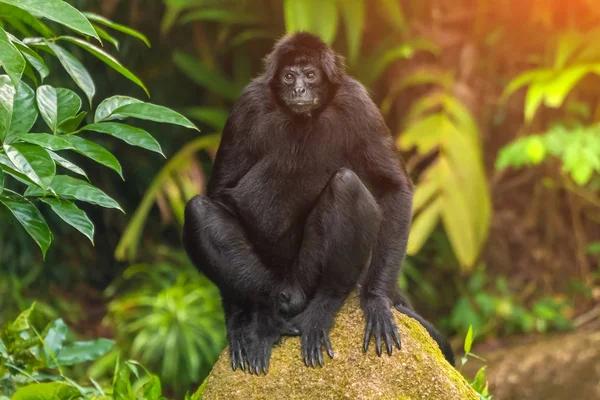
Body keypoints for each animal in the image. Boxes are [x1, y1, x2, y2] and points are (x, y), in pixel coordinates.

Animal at [183, 32, 454, 374]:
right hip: (271, 276)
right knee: (198, 210)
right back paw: (266, 319)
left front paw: (377, 299)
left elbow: (392, 187)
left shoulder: (357, 102)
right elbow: (220, 192)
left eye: (310, 75)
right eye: (289, 76)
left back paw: (322, 307)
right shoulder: (248, 104)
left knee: (346, 184)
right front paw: (236, 322)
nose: (299, 89)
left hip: (307, 271)